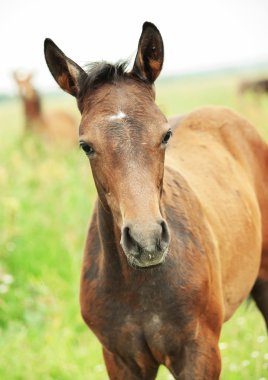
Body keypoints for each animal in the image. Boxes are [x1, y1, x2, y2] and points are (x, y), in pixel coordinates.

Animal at [44, 22, 268, 378]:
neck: (140, 285)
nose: (146, 241)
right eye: (86, 146)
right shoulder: (121, 360)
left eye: (165, 135)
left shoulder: (200, 354)